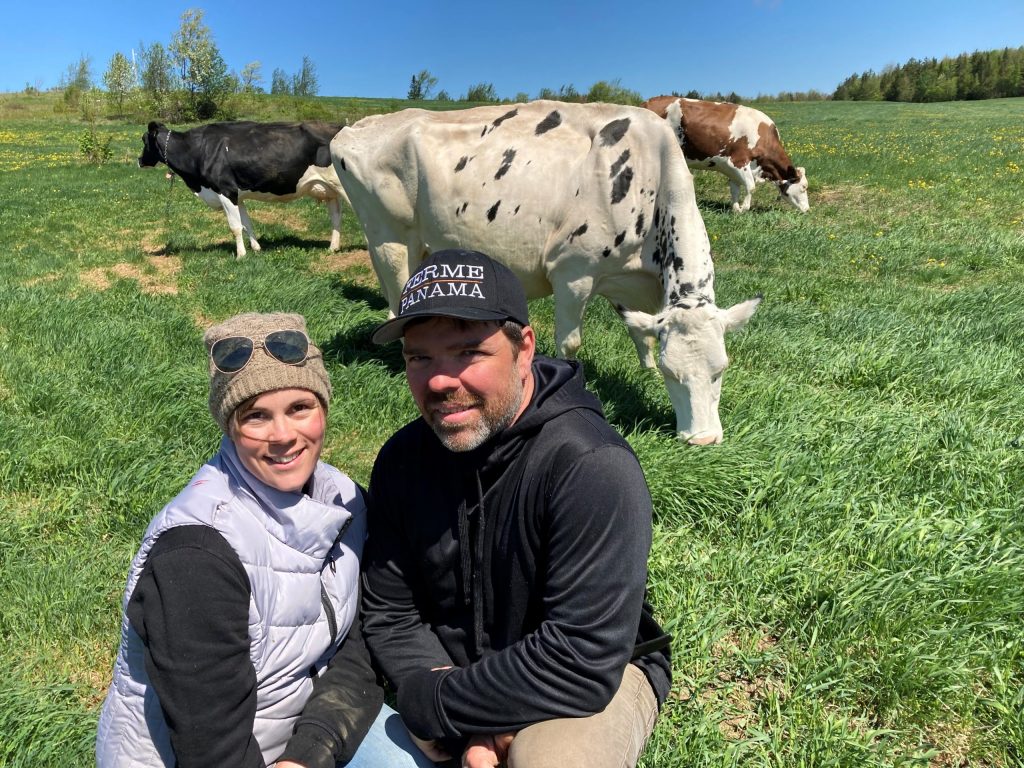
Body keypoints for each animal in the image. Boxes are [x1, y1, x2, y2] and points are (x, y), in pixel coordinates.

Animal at [140, 120, 348, 259]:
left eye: (144, 140)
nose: (139, 160)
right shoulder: (237, 196)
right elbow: (247, 223)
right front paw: (256, 248)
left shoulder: (226, 191)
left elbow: (235, 226)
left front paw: (241, 255)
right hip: (330, 190)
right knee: (336, 216)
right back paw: (333, 248)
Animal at [331, 100, 765, 444]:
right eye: (675, 375)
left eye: (721, 370)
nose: (703, 441)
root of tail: (358, 126)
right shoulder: (573, 270)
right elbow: (570, 342)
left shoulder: (630, 282)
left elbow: (639, 331)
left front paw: (646, 370)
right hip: (387, 238)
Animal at [638, 98, 806, 217]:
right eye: (804, 187)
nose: (807, 209)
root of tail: (648, 102)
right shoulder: (737, 161)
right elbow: (751, 187)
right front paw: (744, 208)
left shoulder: (732, 170)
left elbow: (735, 189)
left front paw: (736, 209)